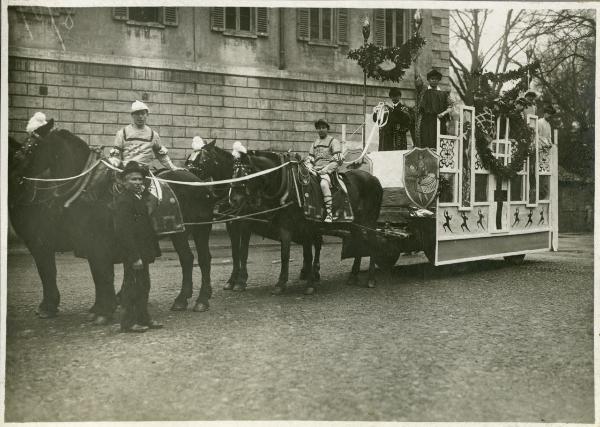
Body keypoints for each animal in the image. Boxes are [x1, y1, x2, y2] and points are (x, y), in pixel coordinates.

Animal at [7, 122, 216, 322]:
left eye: (31, 147)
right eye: (22, 146)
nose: (14, 172)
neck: (90, 188)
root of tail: (199, 181)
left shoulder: (65, 243)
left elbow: (94, 273)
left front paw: (102, 311)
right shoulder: (87, 242)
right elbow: (97, 274)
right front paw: (99, 308)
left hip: (201, 229)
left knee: (204, 259)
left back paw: (202, 300)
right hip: (179, 231)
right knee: (186, 259)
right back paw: (181, 299)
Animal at [192, 142, 384, 292]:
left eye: (246, 173)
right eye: (233, 172)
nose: (234, 199)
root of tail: (373, 178)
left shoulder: (252, 225)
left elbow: (247, 252)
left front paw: (241, 281)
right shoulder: (240, 225)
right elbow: (241, 253)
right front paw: (235, 280)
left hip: (368, 222)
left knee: (372, 243)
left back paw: (371, 279)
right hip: (355, 224)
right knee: (356, 243)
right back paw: (350, 275)